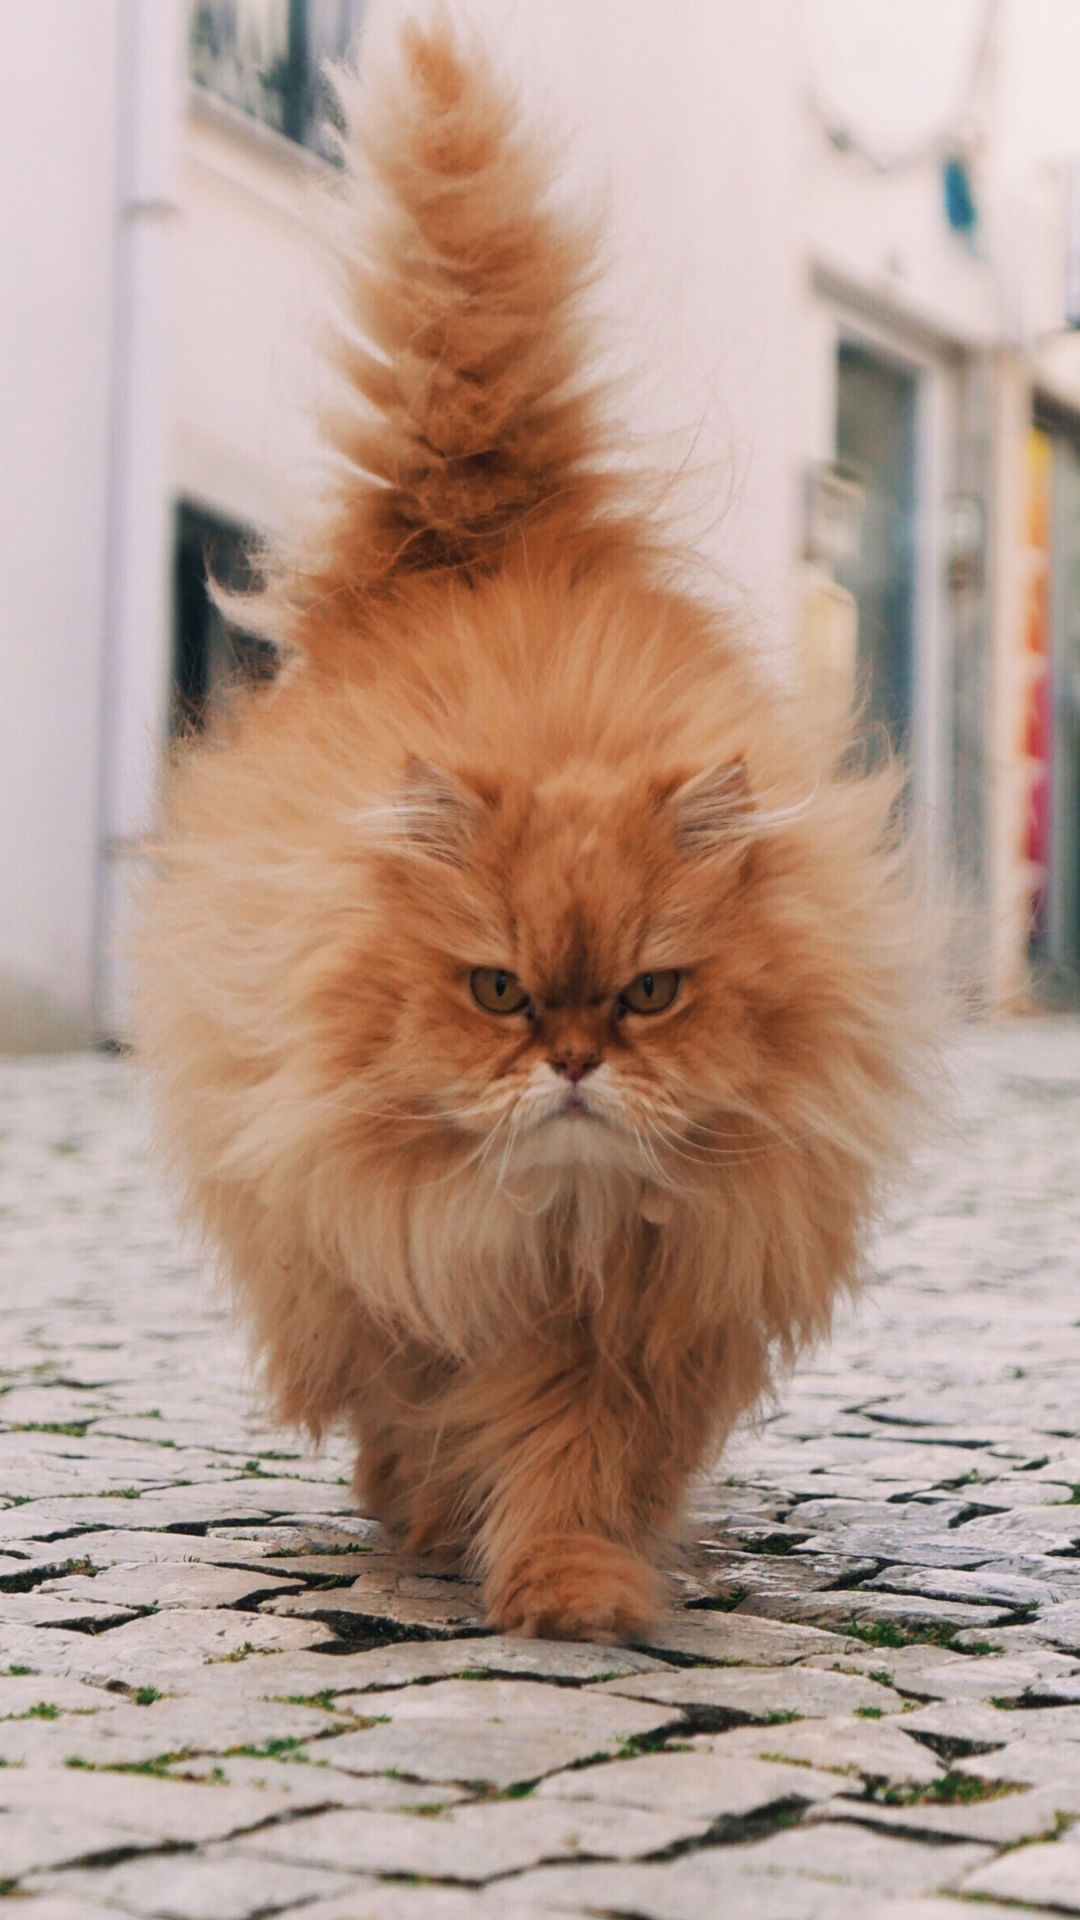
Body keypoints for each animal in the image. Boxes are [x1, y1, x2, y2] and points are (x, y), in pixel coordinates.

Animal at [132, 15, 926, 1643]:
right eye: (497, 991)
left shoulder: (642, 1311)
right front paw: (444, 1527)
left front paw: (571, 1590)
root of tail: (480, 542)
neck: (557, 1226)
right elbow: (427, 1407)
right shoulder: (399, 1255)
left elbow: (580, 1453)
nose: (570, 1061)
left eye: (650, 993)